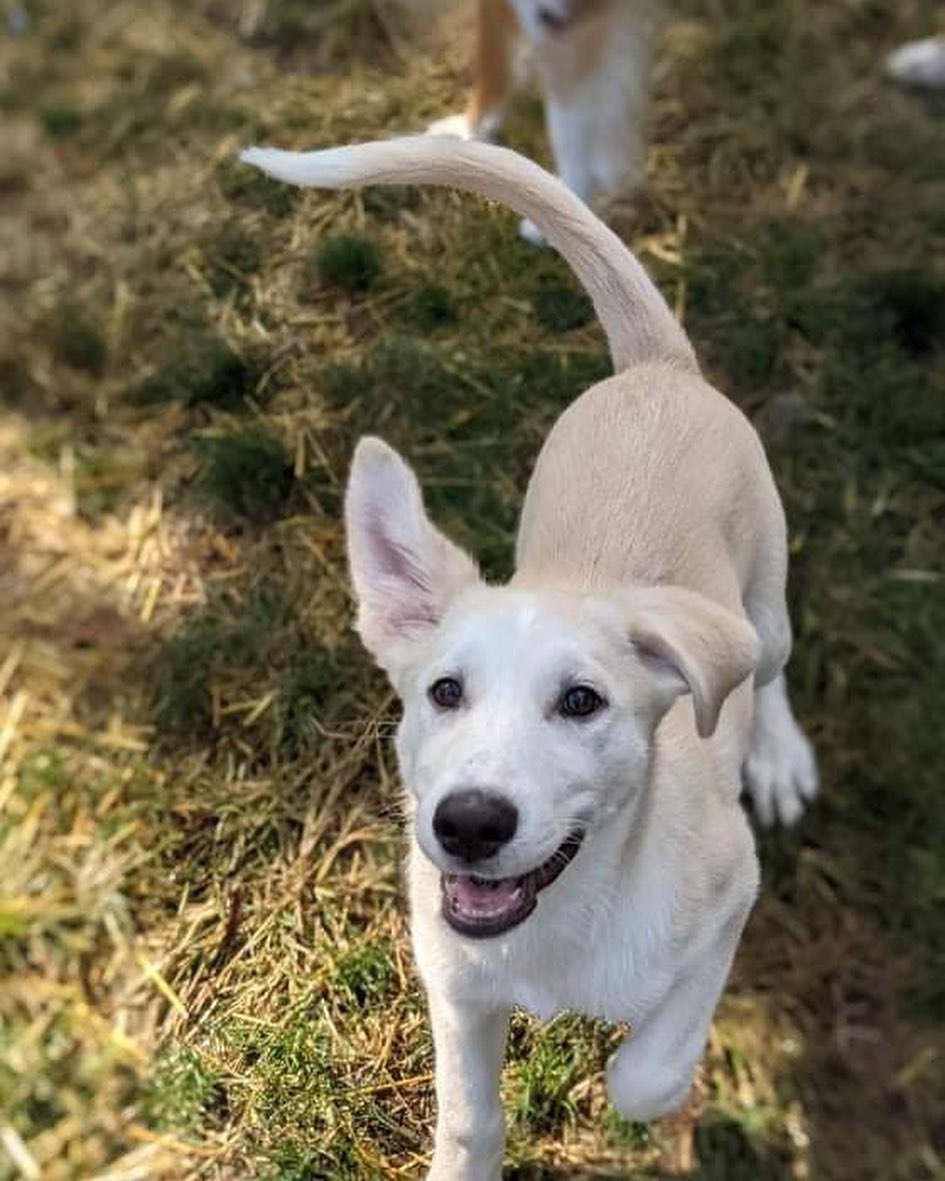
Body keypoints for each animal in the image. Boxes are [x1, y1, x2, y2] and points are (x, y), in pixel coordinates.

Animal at [239, 138, 817, 1181]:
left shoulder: (729, 898)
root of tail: (655, 366)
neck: (559, 919)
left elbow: (644, 1073)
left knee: (767, 662)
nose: (468, 823)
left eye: (582, 701)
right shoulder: (451, 978)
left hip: (762, 598)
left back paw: (778, 754)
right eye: (443, 691)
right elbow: (471, 1119)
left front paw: (646, 1086)